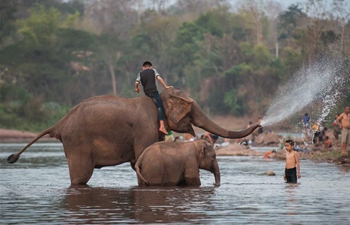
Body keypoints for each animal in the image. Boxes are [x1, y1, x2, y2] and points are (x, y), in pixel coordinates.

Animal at [7, 86, 260, 185]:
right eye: (191, 111)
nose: (258, 124)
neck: (158, 98)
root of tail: (60, 122)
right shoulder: (145, 127)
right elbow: (139, 157)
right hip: (77, 141)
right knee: (81, 177)